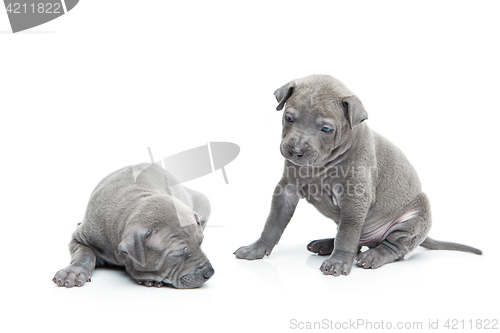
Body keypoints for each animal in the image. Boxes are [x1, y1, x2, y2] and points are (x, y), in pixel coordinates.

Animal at [54, 163, 215, 288]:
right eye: (178, 254)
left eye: (201, 242)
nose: (210, 273)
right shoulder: (82, 237)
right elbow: (84, 253)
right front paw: (72, 272)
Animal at [234, 74, 480, 274]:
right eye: (289, 118)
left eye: (326, 129)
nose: (296, 151)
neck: (322, 166)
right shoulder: (286, 191)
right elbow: (272, 224)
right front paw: (256, 248)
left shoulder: (355, 198)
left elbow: (347, 234)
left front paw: (338, 263)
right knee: (355, 238)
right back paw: (325, 244)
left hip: (414, 218)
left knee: (392, 246)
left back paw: (372, 255)